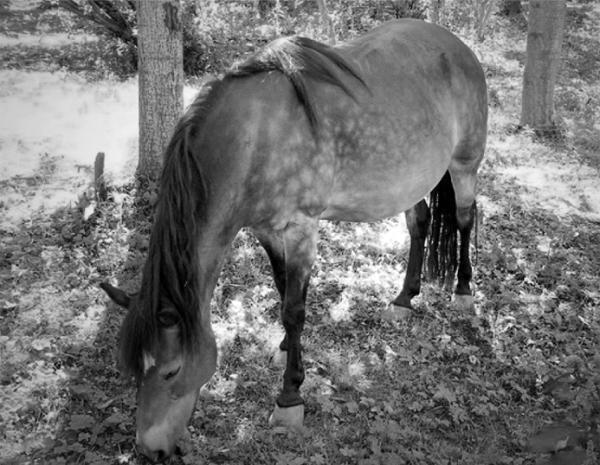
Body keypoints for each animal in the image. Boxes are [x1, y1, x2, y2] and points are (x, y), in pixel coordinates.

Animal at [102, 18, 488, 460]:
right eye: (133, 369)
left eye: (172, 370)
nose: (149, 450)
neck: (252, 140)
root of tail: (457, 45)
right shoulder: (266, 230)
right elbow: (281, 286)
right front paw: (288, 349)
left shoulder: (301, 228)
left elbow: (294, 308)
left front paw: (290, 397)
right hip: (410, 180)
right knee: (419, 223)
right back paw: (404, 298)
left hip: (464, 165)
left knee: (464, 219)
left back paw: (463, 291)